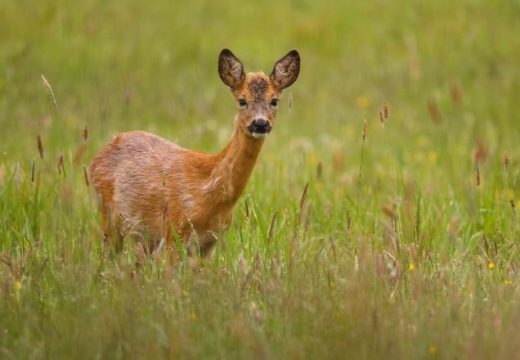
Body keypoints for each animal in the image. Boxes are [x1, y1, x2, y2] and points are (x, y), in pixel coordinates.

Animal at [88, 49, 300, 260]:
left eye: (274, 101)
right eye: (242, 101)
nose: (260, 123)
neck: (209, 191)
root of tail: (94, 160)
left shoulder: (210, 241)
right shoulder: (175, 229)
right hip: (109, 216)